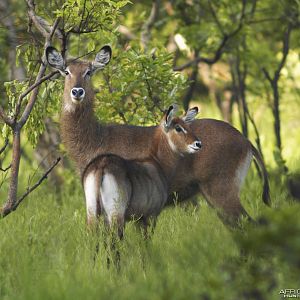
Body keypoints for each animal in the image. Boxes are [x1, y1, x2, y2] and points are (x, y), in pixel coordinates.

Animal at [45, 43, 270, 224]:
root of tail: (246, 141)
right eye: (66, 71)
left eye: (89, 71)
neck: (96, 137)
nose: (77, 91)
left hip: (221, 191)